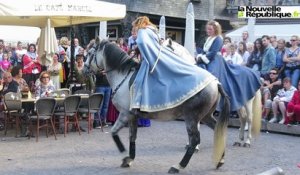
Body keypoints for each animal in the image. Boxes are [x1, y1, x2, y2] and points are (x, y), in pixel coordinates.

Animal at [84, 39, 230, 174]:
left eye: (90, 53)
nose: (84, 68)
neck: (123, 77)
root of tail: (216, 83)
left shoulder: (125, 114)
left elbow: (114, 132)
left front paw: (123, 153)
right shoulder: (133, 116)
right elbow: (132, 136)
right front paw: (129, 158)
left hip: (191, 118)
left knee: (194, 140)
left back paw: (178, 166)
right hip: (205, 116)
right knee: (217, 130)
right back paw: (220, 160)